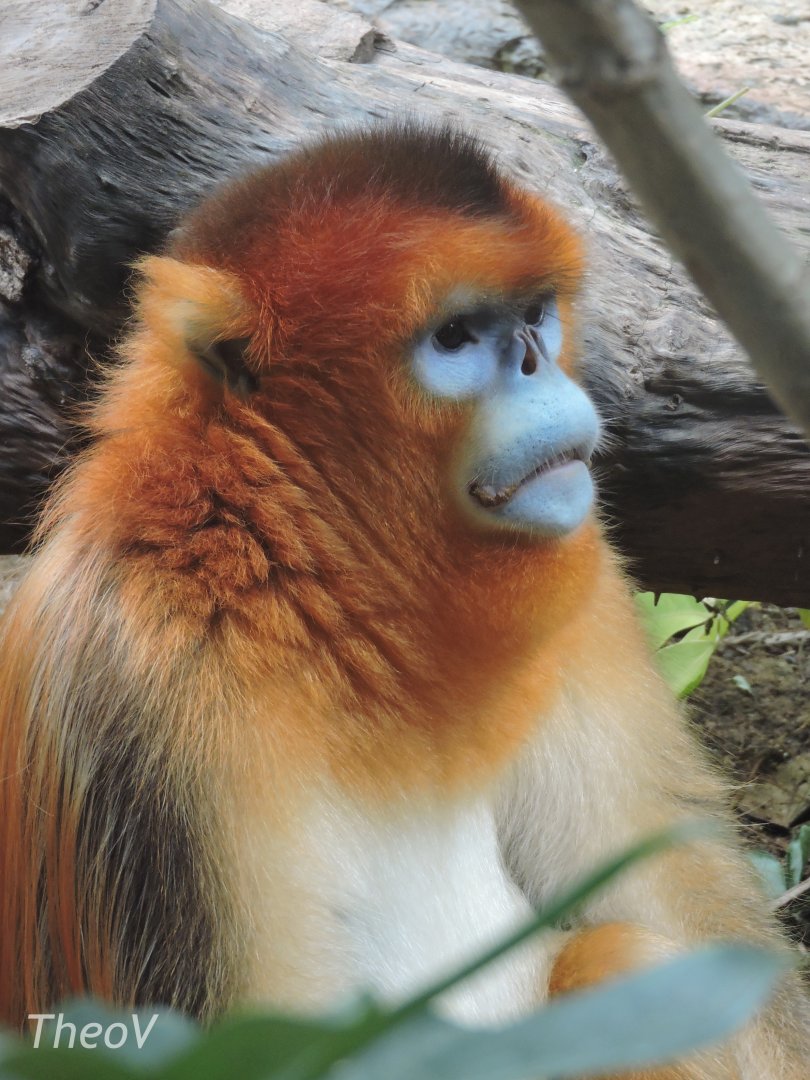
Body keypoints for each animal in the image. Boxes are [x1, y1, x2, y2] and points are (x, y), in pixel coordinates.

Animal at [0, 124, 808, 1078]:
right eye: (455, 337)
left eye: (536, 315)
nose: (537, 365)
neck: (309, 577)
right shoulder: (142, 681)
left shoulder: (581, 587)